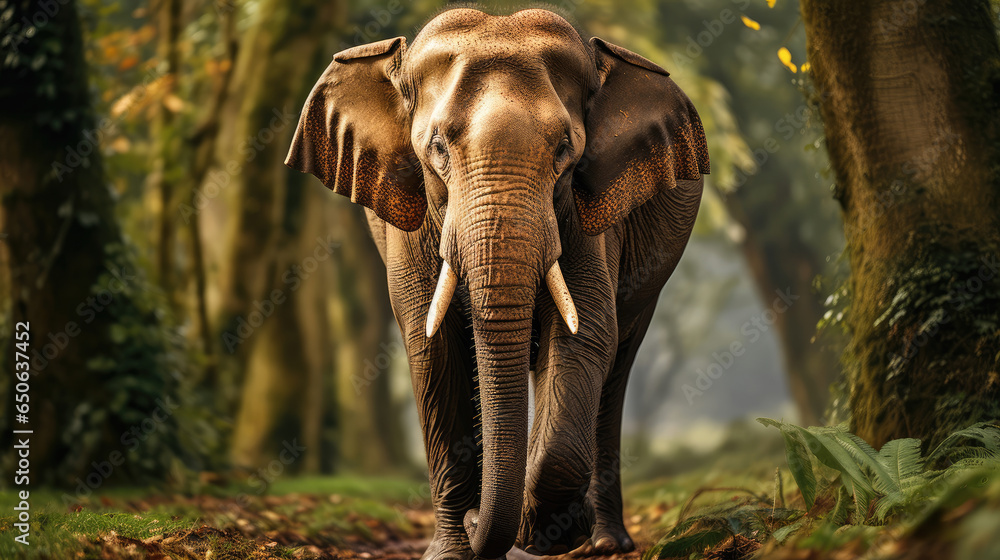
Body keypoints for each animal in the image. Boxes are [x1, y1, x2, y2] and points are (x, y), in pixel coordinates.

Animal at [285, 8, 708, 560]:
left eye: (565, 149)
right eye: (437, 147)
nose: (471, 521)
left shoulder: (587, 209)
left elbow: (584, 333)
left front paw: (549, 529)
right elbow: (434, 348)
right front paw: (452, 551)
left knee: (617, 363)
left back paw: (603, 542)